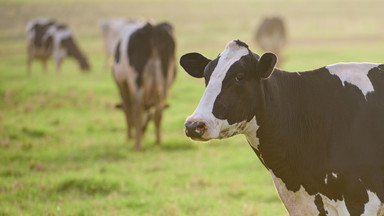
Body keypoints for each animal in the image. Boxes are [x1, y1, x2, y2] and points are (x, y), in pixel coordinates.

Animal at [112, 20, 176, 150]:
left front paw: (129, 137)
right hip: (164, 81)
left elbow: (128, 112)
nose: (143, 131)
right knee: (158, 111)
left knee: (137, 110)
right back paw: (158, 142)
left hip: (137, 80)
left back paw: (137, 146)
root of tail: (150, 28)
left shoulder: (122, 85)